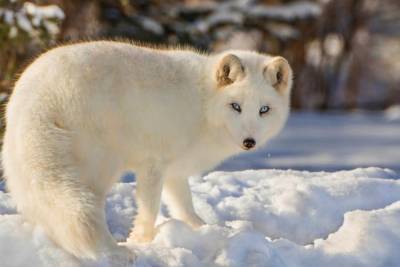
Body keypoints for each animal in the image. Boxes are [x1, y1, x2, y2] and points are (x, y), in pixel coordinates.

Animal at [1, 40, 292, 264]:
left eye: (264, 110)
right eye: (235, 106)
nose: (249, 141)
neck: (204, 103)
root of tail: (37, 98)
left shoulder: (176, 171)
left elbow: (184, 207)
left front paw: (206, 230)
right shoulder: (153, 164)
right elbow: (150, 209)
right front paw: (142, 241)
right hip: (100, 171)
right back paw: (114, 252)